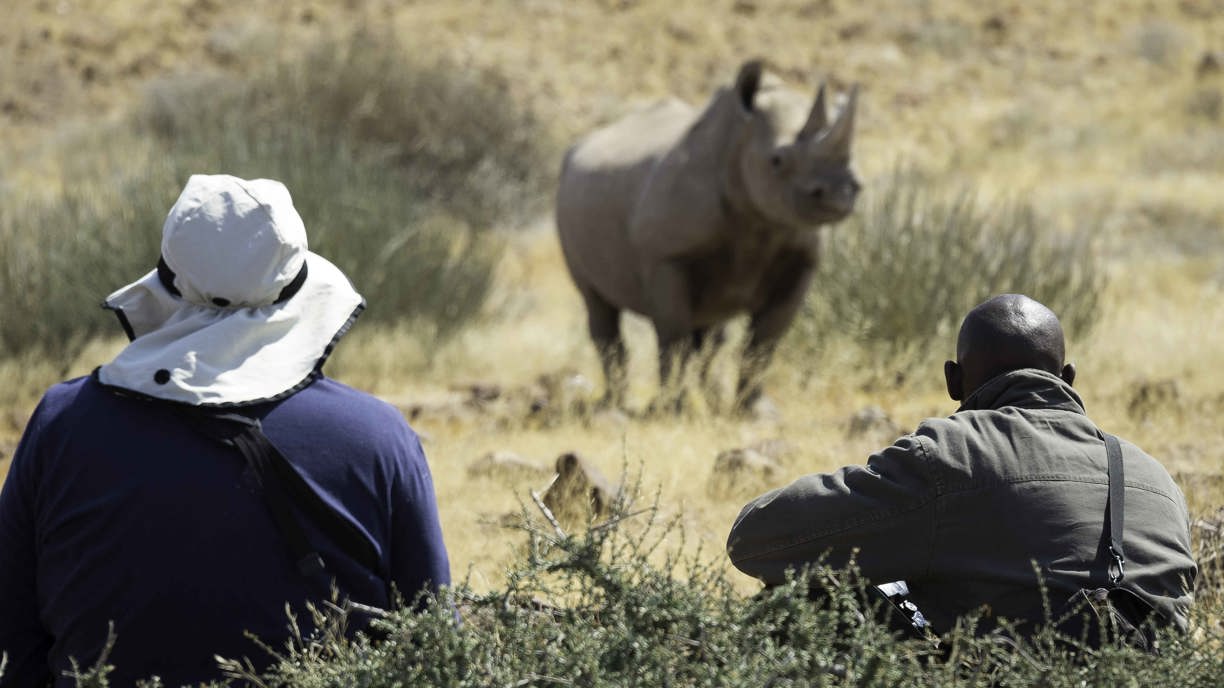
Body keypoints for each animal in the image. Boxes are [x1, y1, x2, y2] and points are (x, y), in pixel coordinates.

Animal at [556, 60, 860, 412]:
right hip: (565, 195)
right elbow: (673, 335)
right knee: (599, 306)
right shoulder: (668, 257)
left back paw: (707, 399)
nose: (840, 193)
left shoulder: (801, 260)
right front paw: (670, 409)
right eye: (777, 160)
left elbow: (765, 341)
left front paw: (754, 410)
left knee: (712, 332)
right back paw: (613, 405)